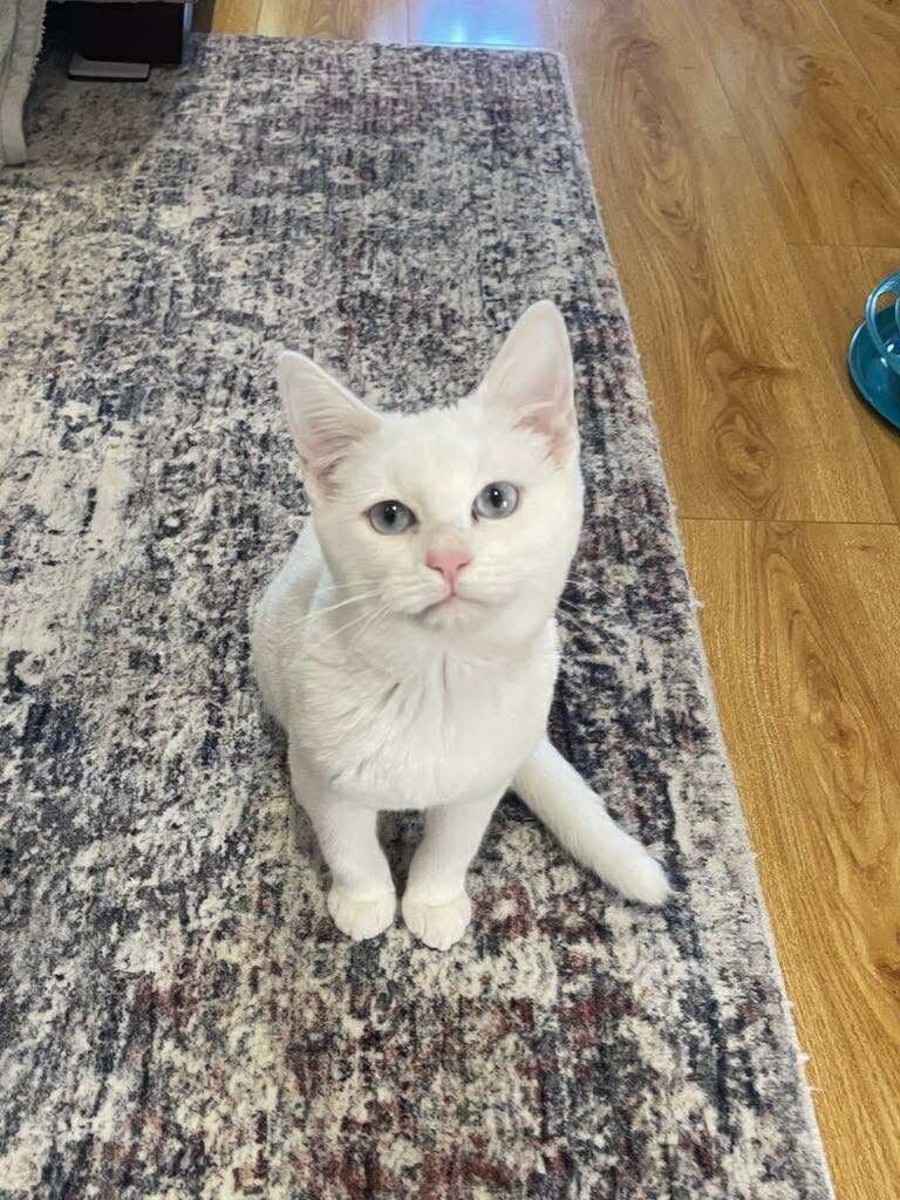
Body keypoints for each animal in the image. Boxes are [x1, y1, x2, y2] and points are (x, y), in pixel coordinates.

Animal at [251, 301, 670, 951]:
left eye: (497, 499)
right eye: (390, 517)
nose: (449, 558)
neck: (435, 684)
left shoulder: (478, 789)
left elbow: (450, 848)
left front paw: (433, 901)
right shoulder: (322, 776)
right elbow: (350, 847)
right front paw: (366, 900)